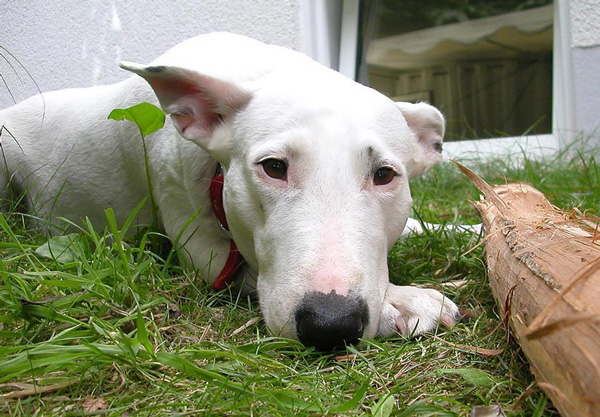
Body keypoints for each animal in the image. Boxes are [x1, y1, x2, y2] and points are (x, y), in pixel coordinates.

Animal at [0, 34, 460, 350]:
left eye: (384, 175)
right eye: (273, 167)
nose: (330, 323)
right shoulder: (203, 252)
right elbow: (248, 271)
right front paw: (399, 301)